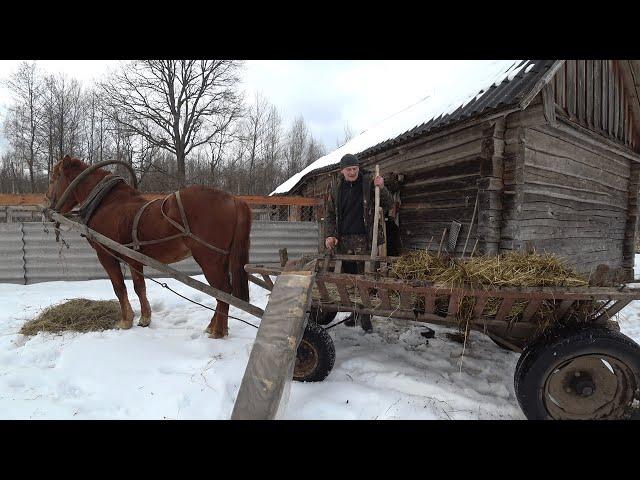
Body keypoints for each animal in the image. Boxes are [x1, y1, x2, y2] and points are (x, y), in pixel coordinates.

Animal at [43, 157, 250, 338]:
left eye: (53, 178)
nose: (46, 205)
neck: (108, 203)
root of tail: (234, 199)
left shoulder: (106, 255)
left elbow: (120, 287)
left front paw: (126, 321)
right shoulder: (134, 258)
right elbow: (139, 287)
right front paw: (144, 318)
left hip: (209, 260)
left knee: (223, 291)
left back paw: (218, 332)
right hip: (221, 260)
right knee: (221, 293)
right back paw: (213, 326)